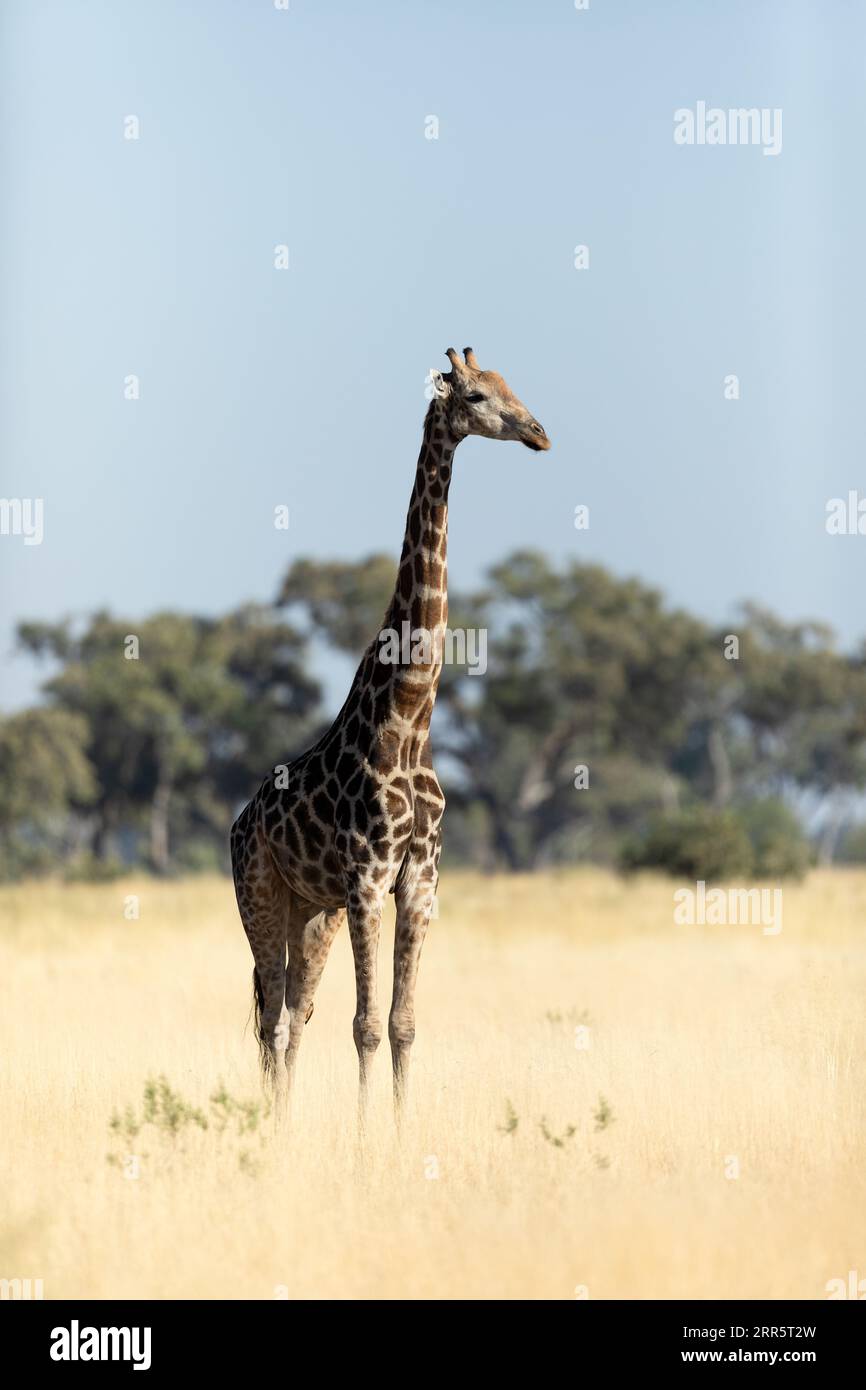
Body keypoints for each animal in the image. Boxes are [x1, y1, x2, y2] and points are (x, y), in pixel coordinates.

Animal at [230, 346, 550, 1121]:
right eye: (475, 395)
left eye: (511, 385)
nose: (539, 433)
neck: (408, 722)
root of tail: (239, 821)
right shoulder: (369, 879)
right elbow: (366, 1026)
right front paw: (364, 1137)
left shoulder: (420, 879)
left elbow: (401, 1024)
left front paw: (401, 1134)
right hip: (260, 895)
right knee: (270, 1015)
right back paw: (270, 1127)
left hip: (313, 912)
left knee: (294, 1013)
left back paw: (285, 1124)